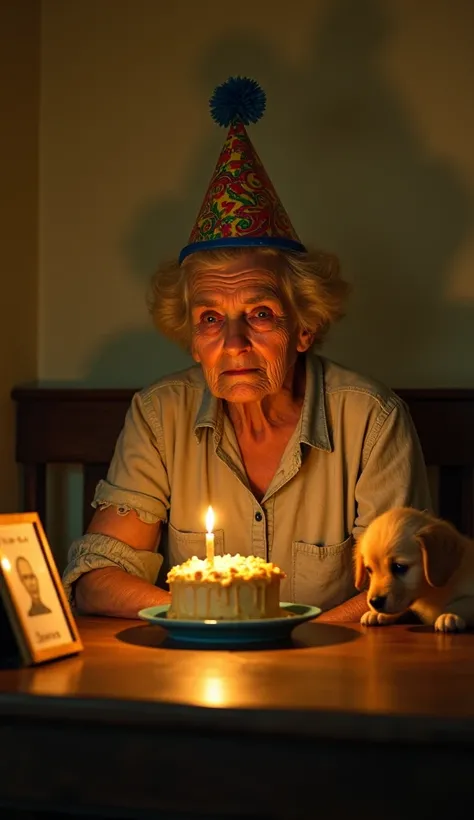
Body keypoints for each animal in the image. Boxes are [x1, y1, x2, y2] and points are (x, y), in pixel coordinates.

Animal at [356, 506, 474, 636]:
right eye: (369, 569)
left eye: (399, 567)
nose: (375, 602)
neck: (431, 592)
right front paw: (376, 614)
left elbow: (461, 604)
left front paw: (449, 615)